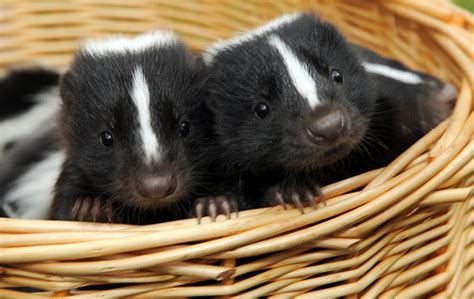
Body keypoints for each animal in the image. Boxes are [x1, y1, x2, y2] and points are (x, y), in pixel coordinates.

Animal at [50, 31, 206, 225]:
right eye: (106, 138)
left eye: (185, 127)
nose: (157, 186)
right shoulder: (73, 174)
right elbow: (62, 209)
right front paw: (91, 208)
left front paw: (211, 204)